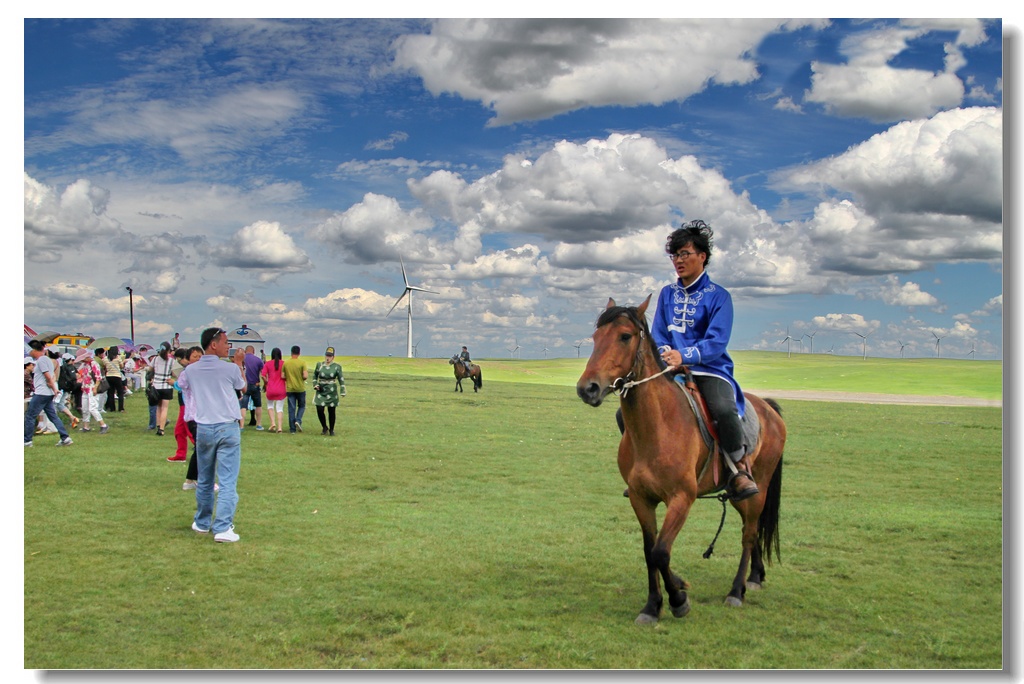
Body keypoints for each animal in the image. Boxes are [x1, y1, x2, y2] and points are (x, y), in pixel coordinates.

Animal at [577, 296, 782, 622]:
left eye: (625, 336)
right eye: (596, 338)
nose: (588, 388)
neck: (659, 426)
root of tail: (769, 410)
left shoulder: (682, 498)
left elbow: (661, 551)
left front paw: (677, 600)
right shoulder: (641, 498)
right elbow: (650, 552)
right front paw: (654, 604)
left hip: (756, 489)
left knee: (749, 535)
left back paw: (736, 591)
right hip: (741, 497)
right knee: (753, 528)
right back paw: (755, 576)